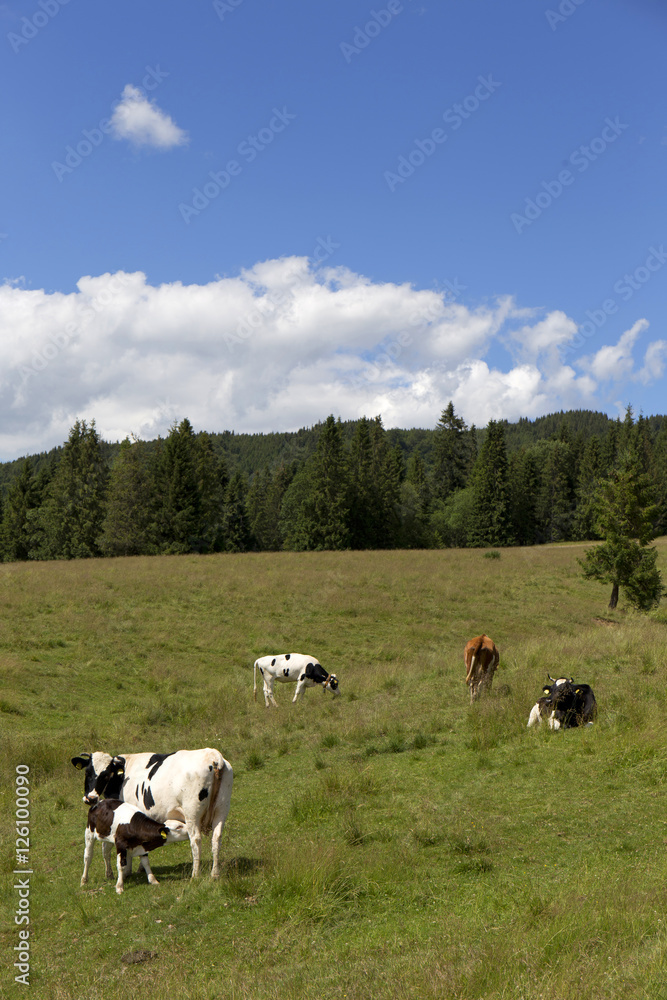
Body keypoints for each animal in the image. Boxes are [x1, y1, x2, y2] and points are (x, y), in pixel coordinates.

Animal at [71, 748, 233, 878]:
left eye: (106, 775)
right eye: (87, 772)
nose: (91, 798)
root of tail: (213, 755)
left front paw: (127, 871)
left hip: (192, 813)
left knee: (196, 840)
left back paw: (195, 875)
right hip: (221, 810)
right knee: (216, 838)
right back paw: (215, 874)